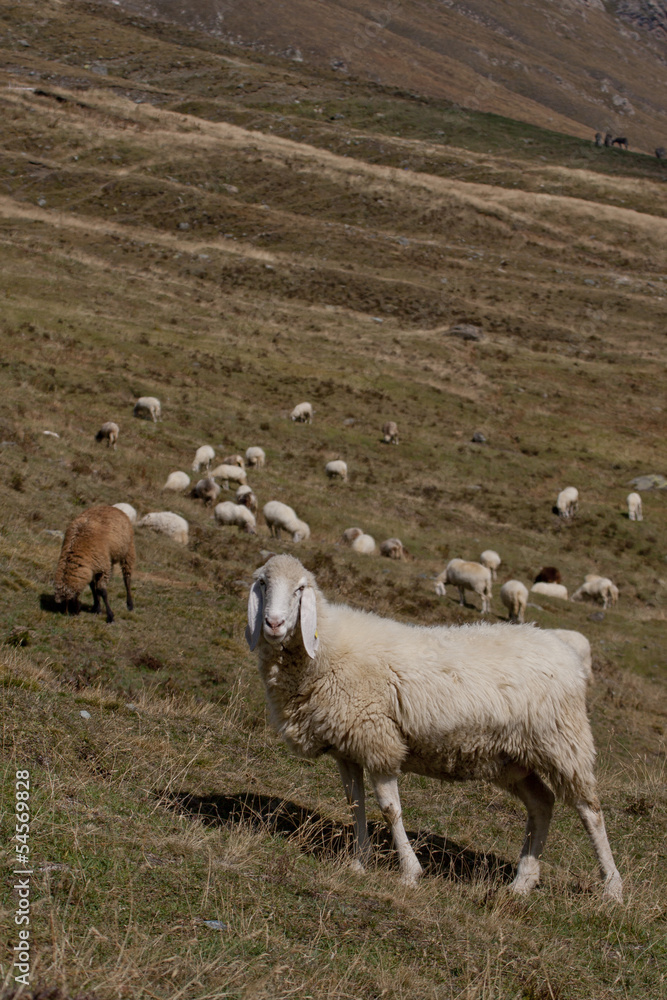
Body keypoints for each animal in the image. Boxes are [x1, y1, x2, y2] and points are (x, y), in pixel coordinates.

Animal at [245, 554, 623, 902]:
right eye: (262, 583)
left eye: (300, 589)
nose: (274, 623)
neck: (326, 647)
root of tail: (565, 652)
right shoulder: (348, 746)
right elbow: (355, 803)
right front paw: (359, 861)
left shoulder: (379, 739)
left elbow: (390, 809)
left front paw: (410, 872)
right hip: (512, 758)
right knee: (542, 803)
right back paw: (522, 882)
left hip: (563, 743)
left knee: (590, 812)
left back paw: (612, 887)